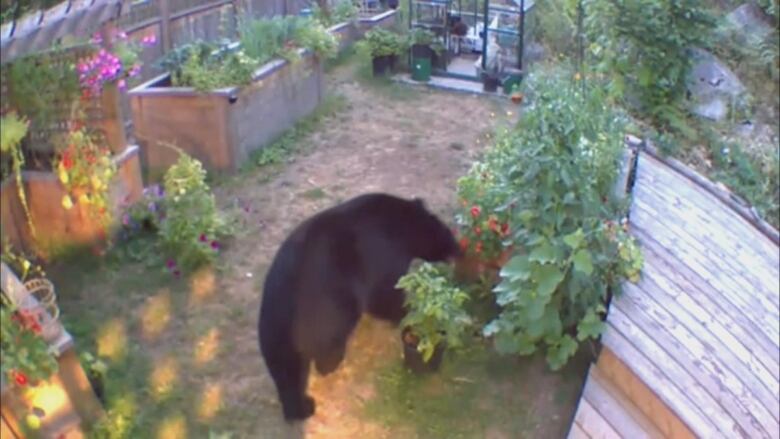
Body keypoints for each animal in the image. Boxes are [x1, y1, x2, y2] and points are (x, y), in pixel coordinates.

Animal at [258, 194, 460, 422]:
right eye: (447, 233)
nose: (458, 249)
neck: (402, 225)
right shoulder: (384, 255)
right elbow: (386, 292)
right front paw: (405, 311)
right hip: (330, 309)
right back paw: (329, 368)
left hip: (274, 331)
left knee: (287, 372)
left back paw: (299, 408)